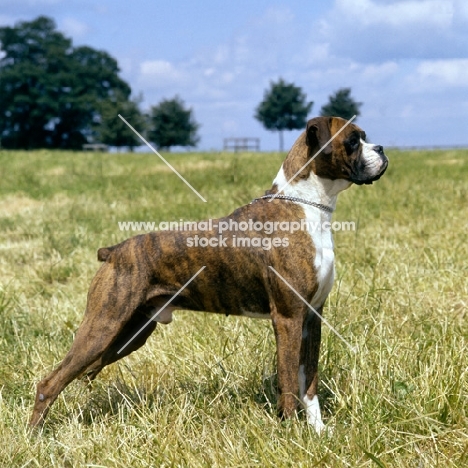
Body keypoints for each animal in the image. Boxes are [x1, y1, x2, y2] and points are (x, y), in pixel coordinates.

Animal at [30, 116, 388, 432]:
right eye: (353, 140)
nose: (382, 148)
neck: (304, 206)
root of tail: (115, 250)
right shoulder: (288, 318)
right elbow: (288, 380)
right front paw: (291, 433)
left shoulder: (312, 317)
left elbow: (308, 381)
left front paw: (318, 431)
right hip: (103, 326)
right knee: (50, 382)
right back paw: (35, 437)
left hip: (127, 335)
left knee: (76, 373)